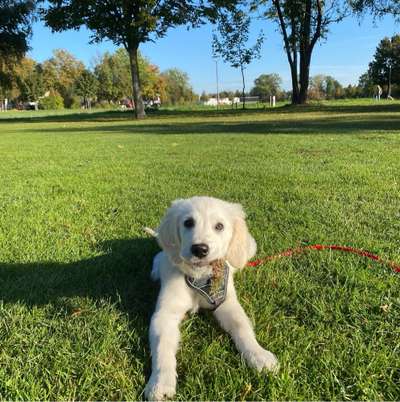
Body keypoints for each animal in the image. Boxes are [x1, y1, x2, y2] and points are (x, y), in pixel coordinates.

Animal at [144, 196, 278, 400]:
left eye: (219, 226)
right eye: (188, 223)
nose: (200, 249)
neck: (199, 277)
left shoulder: (226, 301)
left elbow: (241, 325)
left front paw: (258, 355)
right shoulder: (165, 313)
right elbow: (161, 347)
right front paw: (160, 383)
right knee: (159, 256)